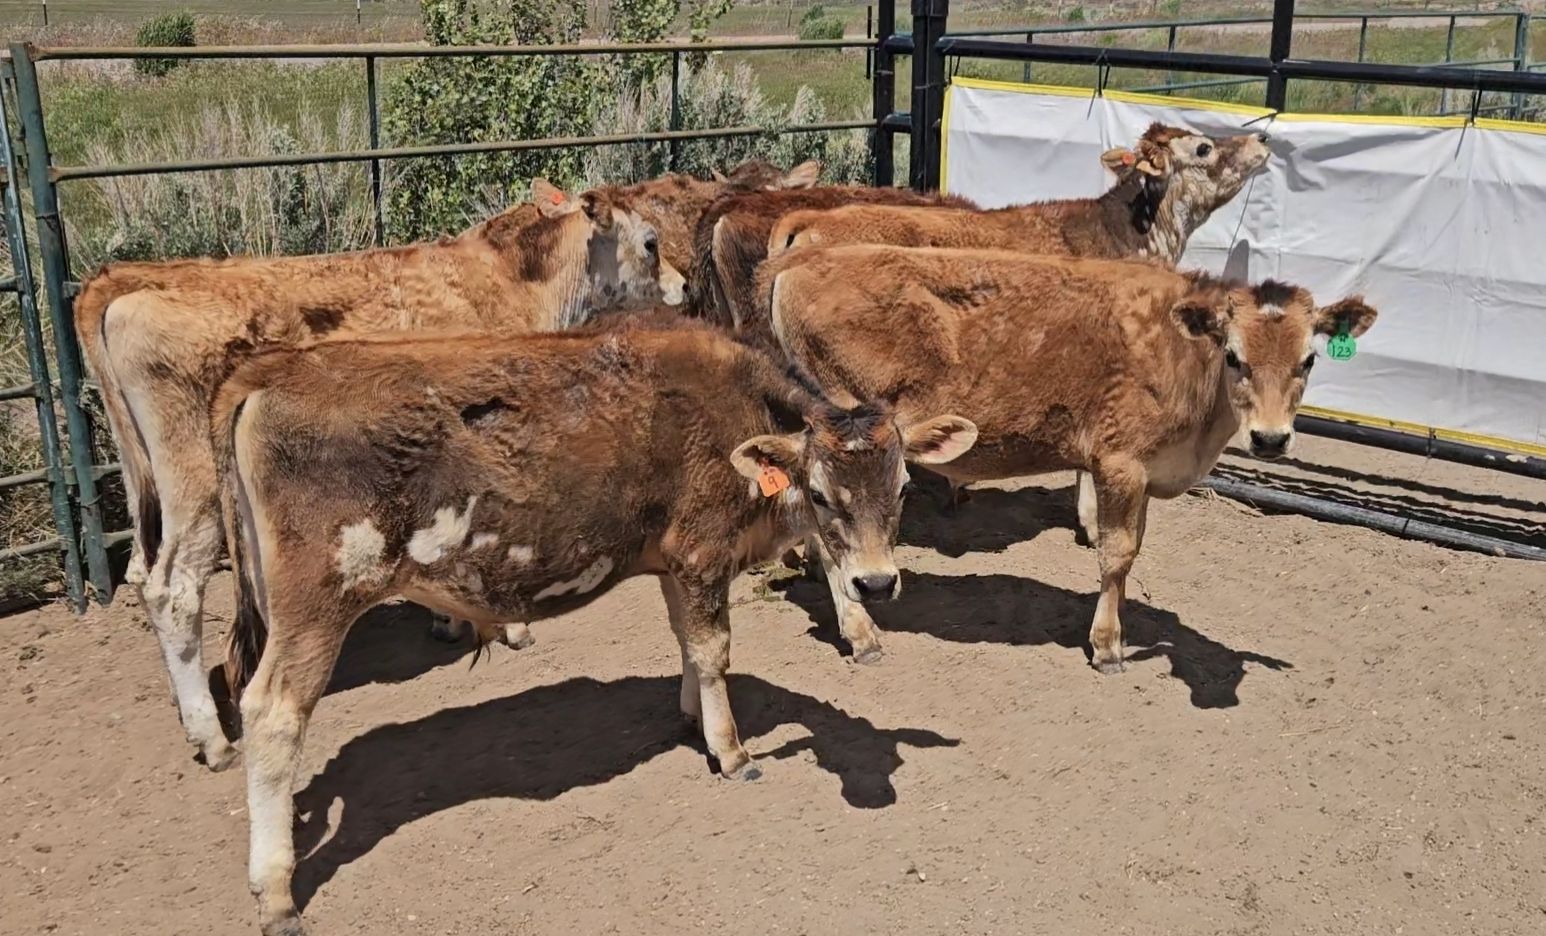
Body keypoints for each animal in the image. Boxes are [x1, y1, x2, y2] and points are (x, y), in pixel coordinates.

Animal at [74, 181, 678, 773]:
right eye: (651, 242)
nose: (680, 284)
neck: (511, 278)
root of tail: (125, 287)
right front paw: (511, 626)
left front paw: (448, 620)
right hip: (196, 485)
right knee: (173, 590)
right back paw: (213, 738)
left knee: (142, 575)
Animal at [211, 318, 976, 935]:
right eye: (819, 492)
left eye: (903, 486)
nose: (875, 582)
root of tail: (270, 370)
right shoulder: (702, 551)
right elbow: (713, 649)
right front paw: (731, 751)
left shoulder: (672, 559)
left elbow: (686, 643)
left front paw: (691, 718)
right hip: (321, 599)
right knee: (272, 713)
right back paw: (275, 891)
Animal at [760, 246, 1378, 671]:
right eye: (1233, 355)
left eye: (1309, 360)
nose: (1271, 439)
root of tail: (805, 256)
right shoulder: (1120, 462)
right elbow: (1117, 554)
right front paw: (1107, 645)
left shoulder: (1145, 473)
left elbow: (1131, 550)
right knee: (830, 533)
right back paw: (860, 630)